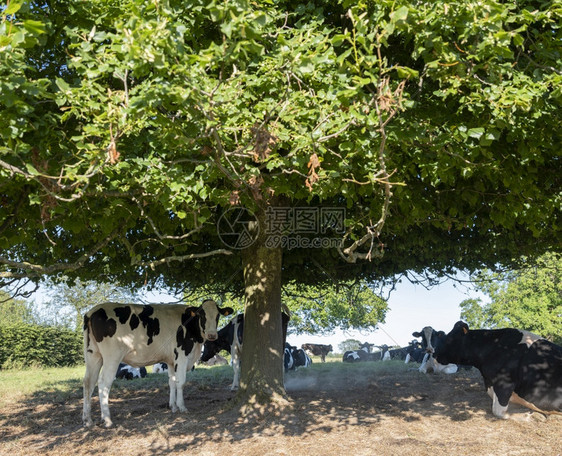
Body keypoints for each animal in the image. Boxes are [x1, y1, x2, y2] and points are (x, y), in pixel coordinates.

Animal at [82, 300, 231, 428]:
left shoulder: (171, 361)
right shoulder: (181, 356)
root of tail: (92, 311)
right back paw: (107, 420)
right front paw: (182, 407)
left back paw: (88, 420)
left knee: (89, 382)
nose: (212, 335)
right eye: (202, 315)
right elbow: (181, 382)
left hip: (93, 355)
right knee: (103, 383)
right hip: (112, 357)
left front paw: (173, 406)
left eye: (217, 315)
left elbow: (172, 382)